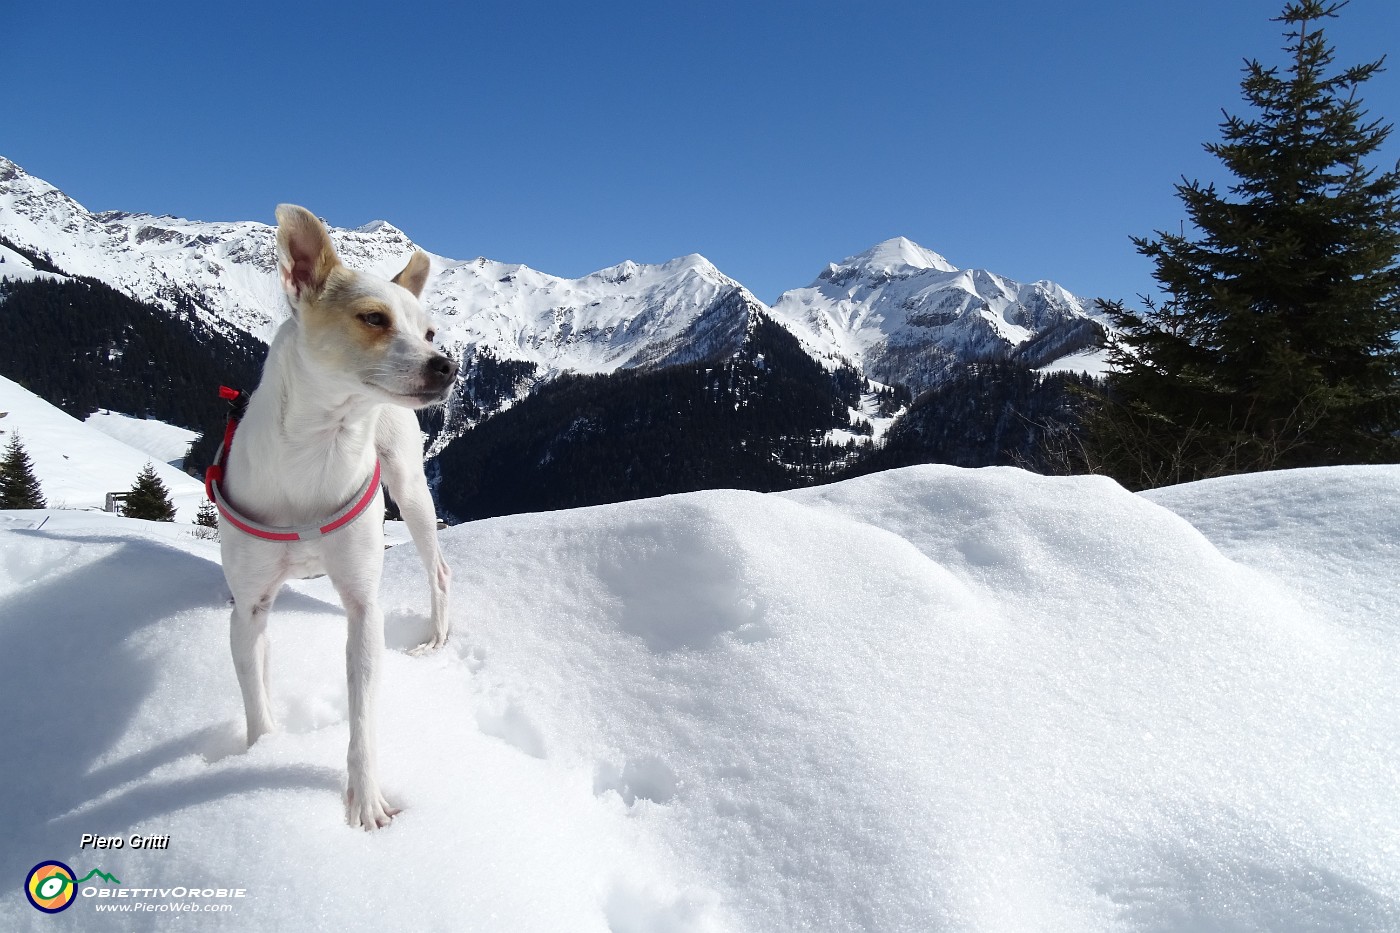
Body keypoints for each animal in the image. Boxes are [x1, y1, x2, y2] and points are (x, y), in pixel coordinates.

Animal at [210, 205, 456, 829]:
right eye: (373, 318)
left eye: (429, 332)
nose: (448, 365)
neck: (319, 448)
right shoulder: (250, 608)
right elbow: (255, 696)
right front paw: (262, 755)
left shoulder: (364, 607)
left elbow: (363, 718)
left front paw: (365, 801)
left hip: (411, 490)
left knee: (439, 570)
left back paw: (435, 638)